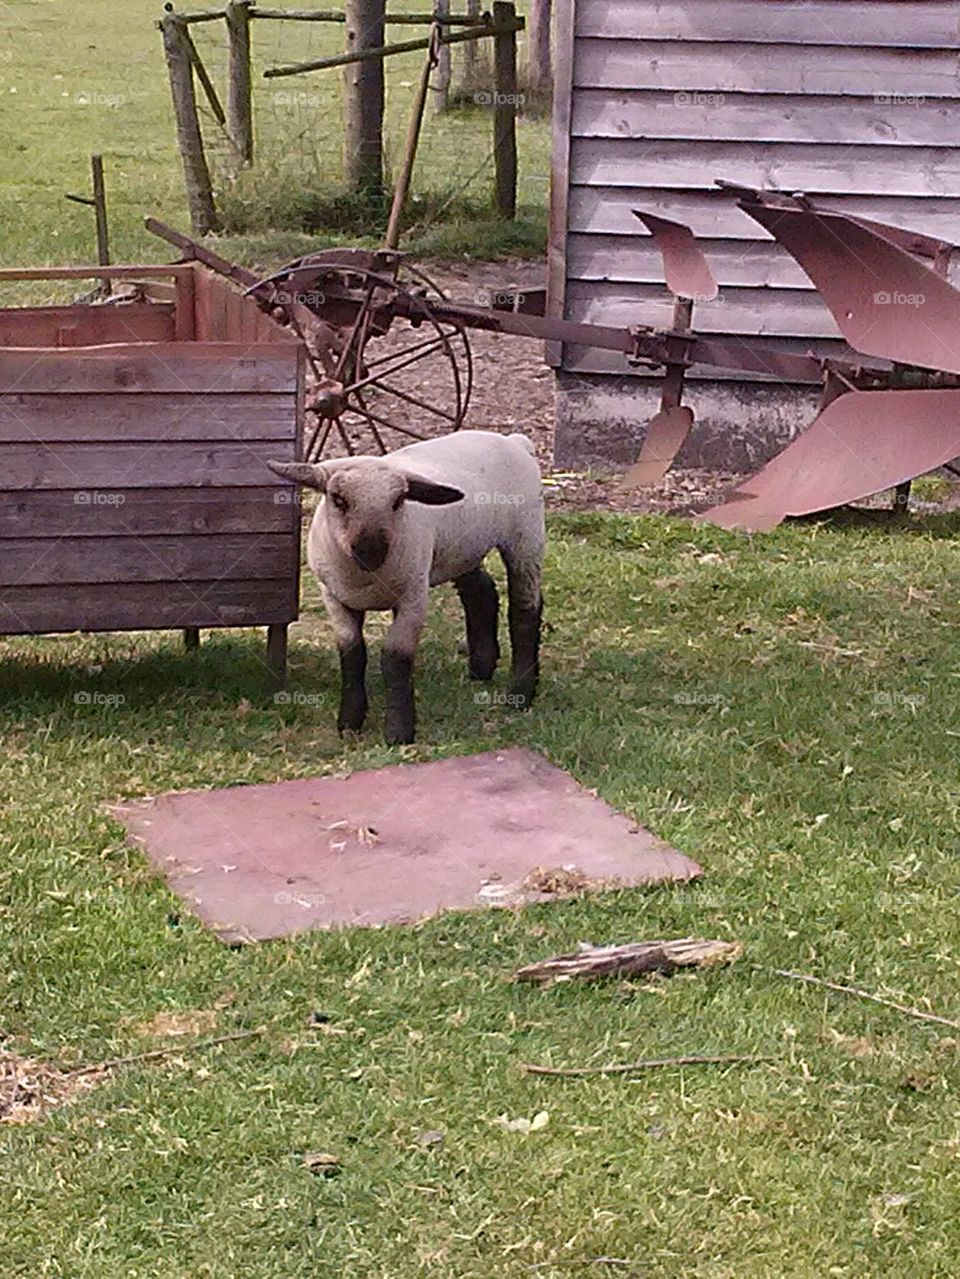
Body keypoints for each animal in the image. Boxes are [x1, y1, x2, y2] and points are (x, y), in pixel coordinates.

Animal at [267, 430, 544, 744]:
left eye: (399, 500)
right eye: (338, 499)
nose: (371, 549)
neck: (366, 578)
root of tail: (513, 440)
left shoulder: (414, 597)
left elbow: (395, 658)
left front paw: (399, 732)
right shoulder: (334, 597)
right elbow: (352, 653)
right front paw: (349, 722)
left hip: (526, 537)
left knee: (525, 611)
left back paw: (520, 693)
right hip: (461, 550)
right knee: (480, 593)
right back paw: (482, 668)